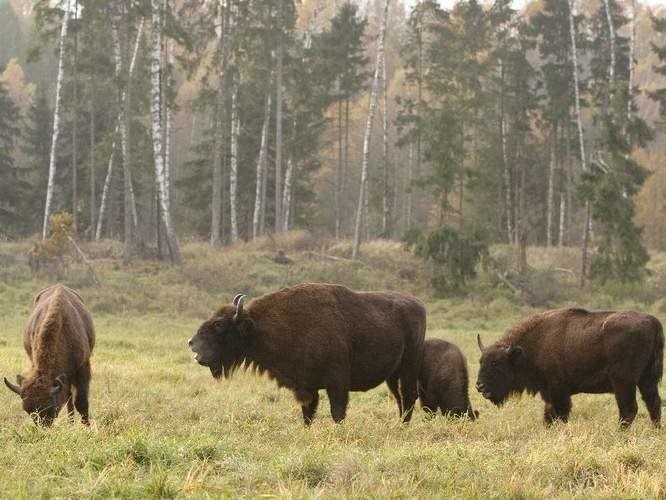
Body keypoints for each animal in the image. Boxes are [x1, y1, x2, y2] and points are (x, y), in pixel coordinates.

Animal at [3, 286, 94, 426]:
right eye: (28, 410)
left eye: (50, 408)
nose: (43, 426)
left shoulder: (82, 366)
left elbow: (81, 401)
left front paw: (87, 427)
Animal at [187, 284, 426, 424]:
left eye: (219, 324)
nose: (192, 343)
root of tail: (418, 304)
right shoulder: (306, 386)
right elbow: (308, 413)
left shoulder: (336, 381)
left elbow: (337, 411)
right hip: (392, 374)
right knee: (400, 397)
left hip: (409, 367)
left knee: (408, 395)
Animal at [474, 306, 660, 428]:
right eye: (480, 361)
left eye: (496, 363)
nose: (479, 386)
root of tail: (653, 322)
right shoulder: (548, 393)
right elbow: (549, 415)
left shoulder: (558, 390)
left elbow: (561, 414)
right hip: (648, 379)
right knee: (653, 403)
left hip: (623, 381)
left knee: (628, 409)